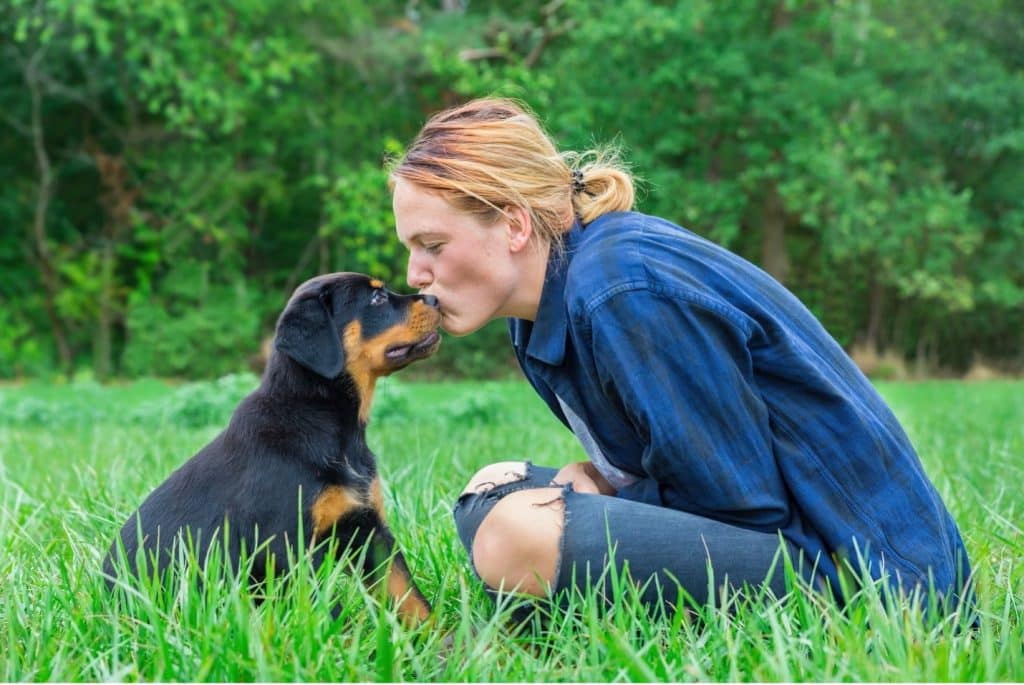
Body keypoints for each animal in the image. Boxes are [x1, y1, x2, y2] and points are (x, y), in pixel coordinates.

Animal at [101, 272, 442, 626]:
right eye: (377, 299)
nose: (435, 300)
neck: (332, 423)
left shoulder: (368, 528)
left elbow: (409, 594)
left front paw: (441, 638)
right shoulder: (285, 545)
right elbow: (326, 610)